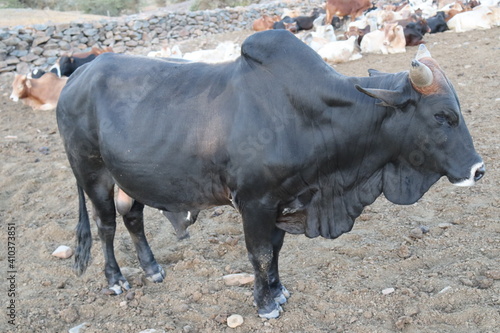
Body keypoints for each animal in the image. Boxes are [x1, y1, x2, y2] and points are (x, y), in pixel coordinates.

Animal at [55, 29, 484, 318]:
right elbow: (259, 252)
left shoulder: (284, 198)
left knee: (133, 219)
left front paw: (278, 292)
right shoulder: (254, 201)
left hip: (129, 180)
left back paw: (153, 269)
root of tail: (77, 77)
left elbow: (275, 250)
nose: (479, 169)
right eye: (442, 116)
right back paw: (115, 280)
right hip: (92, 174)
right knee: (106, 226)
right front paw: (265, 304)